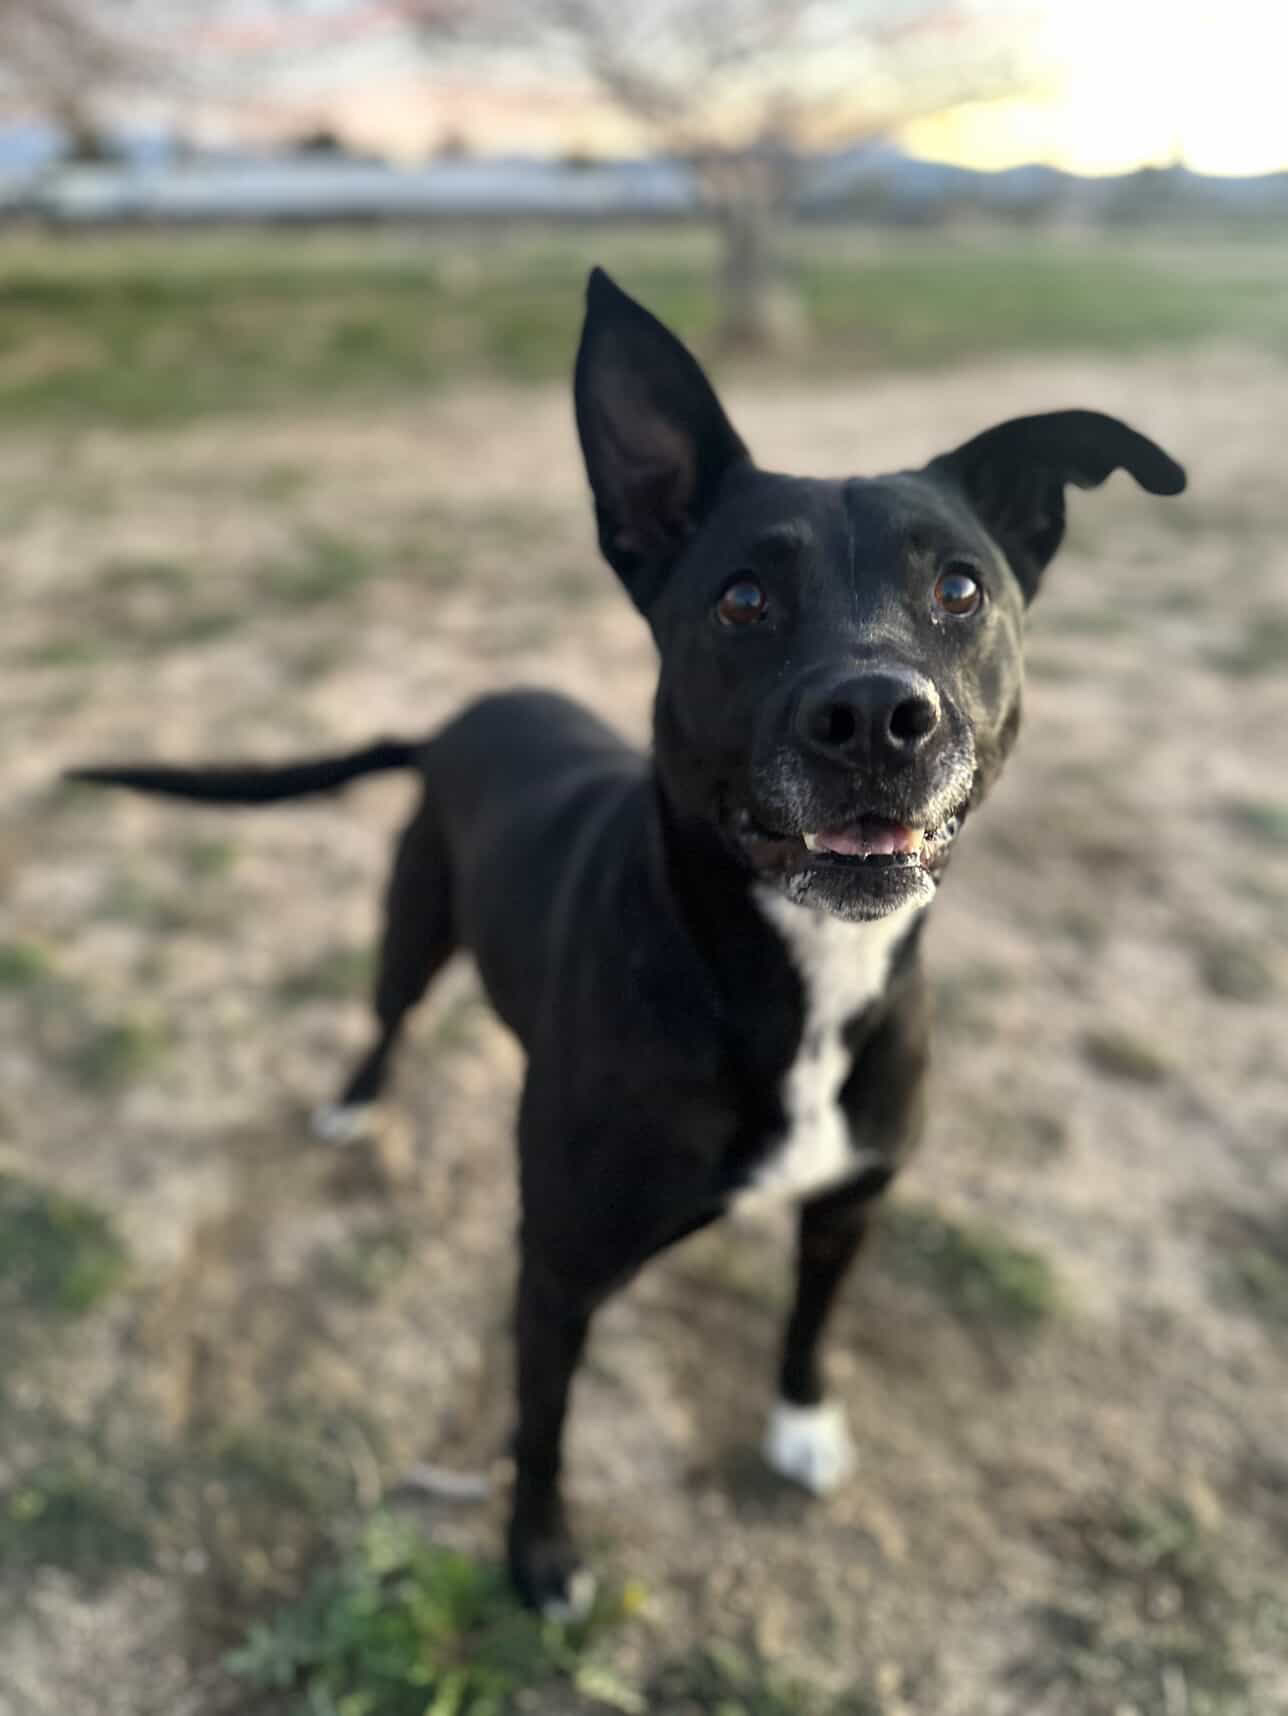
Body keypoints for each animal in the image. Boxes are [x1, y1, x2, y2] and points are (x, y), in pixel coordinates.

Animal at [70, 267, 1185, 1615]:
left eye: (960, 589)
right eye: (741, 599)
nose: (877, 715)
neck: (790, 980)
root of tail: (455, 718)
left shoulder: (849, 1205)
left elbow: (809, 1323)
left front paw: (800, 1426)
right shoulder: (555, 1274)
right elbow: (541, 1430)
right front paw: (538, 1561)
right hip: (412, 923)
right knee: (387, 1015)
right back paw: (353, 1101)